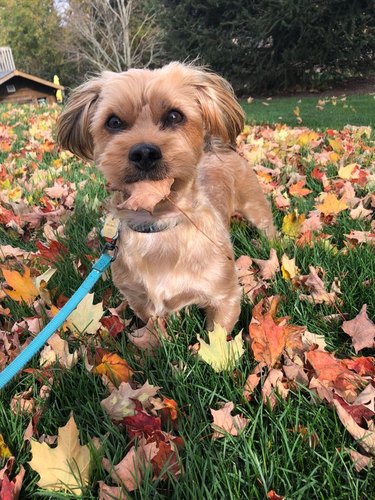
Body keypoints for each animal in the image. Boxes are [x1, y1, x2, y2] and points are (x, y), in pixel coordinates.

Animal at [58, 63, 276, 336]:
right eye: (114, 122)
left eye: (174, 116)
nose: (144, 153)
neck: (159, 225)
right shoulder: (140, 301)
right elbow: (158, 329)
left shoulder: (224, 297)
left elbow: (217, 336)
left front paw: (217, 348)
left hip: (254, 205)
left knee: (267, 226)